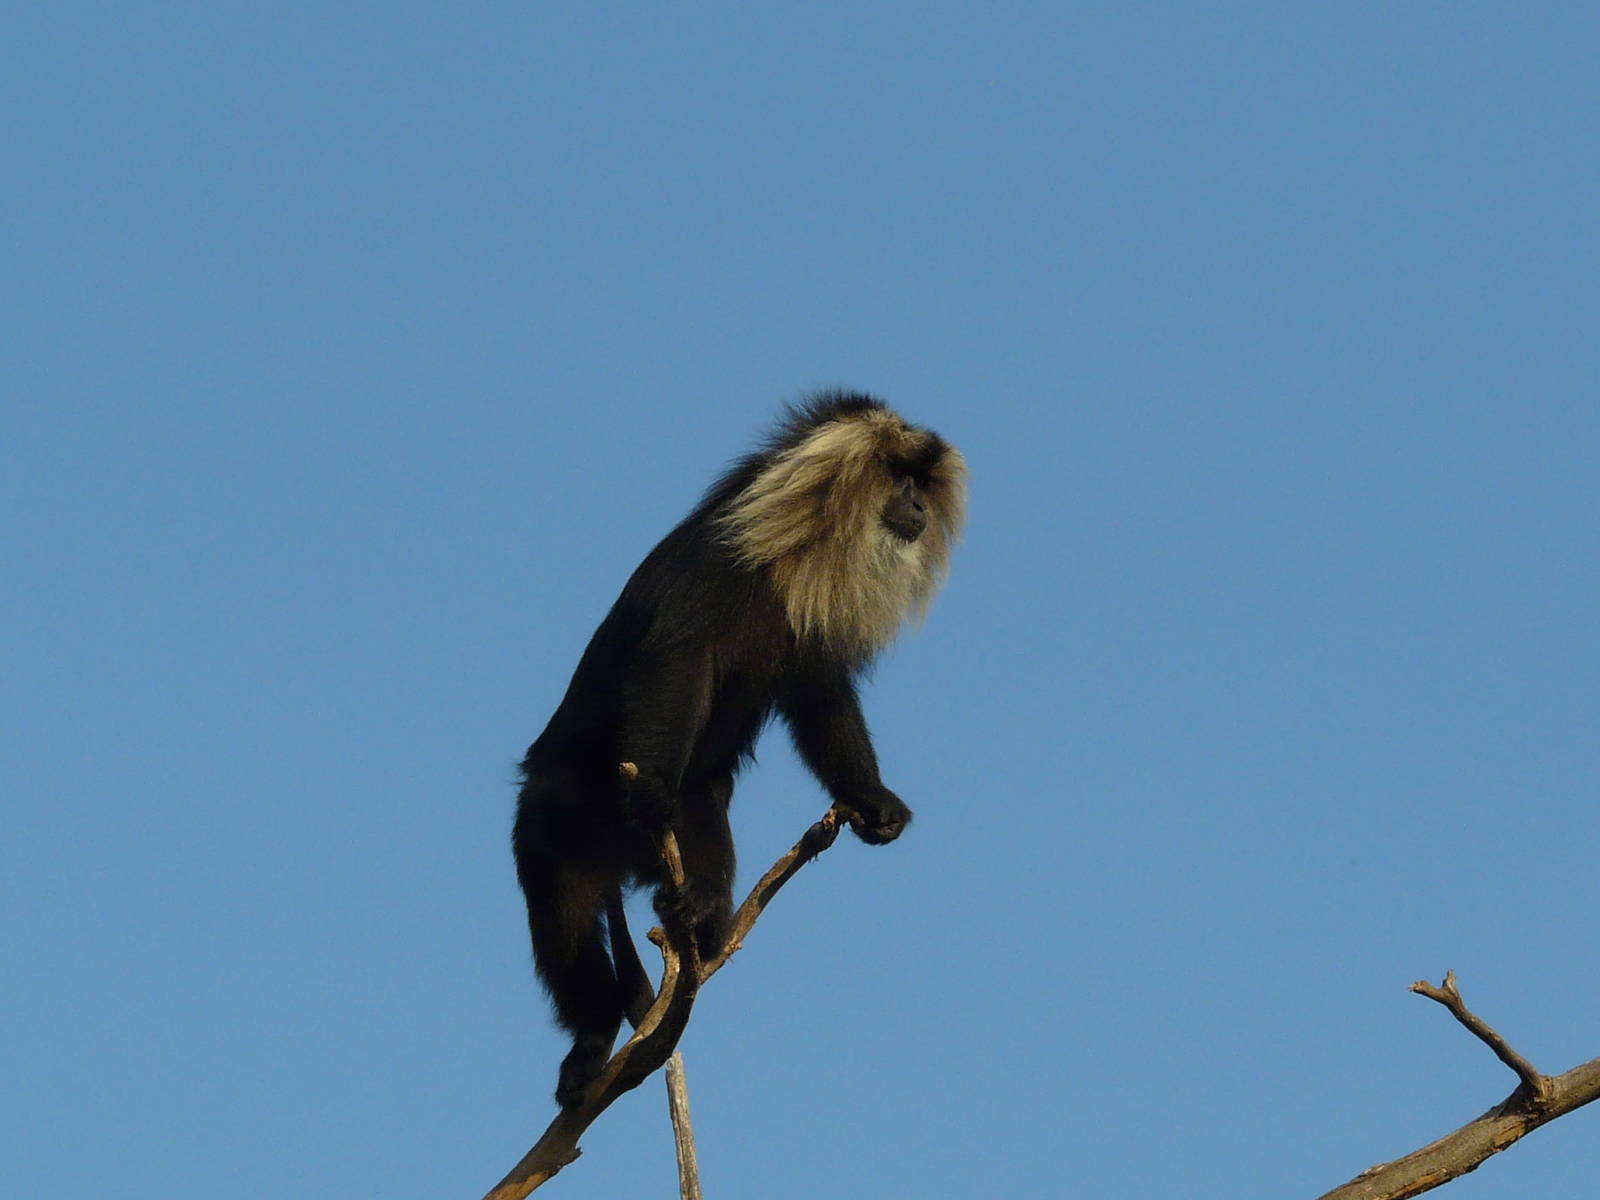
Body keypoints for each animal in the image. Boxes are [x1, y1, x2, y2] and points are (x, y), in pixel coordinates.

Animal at [512, 391, 966, 1107]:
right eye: (900, 477)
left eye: (922, 482)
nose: (918, 505)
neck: (792, 546)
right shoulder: (716, 568)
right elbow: (677, 659)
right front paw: (652, 790)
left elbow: (822, 701)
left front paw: (873, 800)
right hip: (568, 809)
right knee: (561, 901)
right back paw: (591, 1044)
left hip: (696, 821)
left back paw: (701, 917)